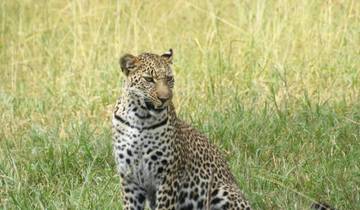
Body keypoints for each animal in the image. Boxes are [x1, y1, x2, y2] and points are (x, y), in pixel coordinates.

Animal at [112, 48, 334, 210]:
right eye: (149, 79)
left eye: (169, 79)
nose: (165, 98)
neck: (141, 119)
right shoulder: (129, 178)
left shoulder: (167, 176)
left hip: (221, 191)